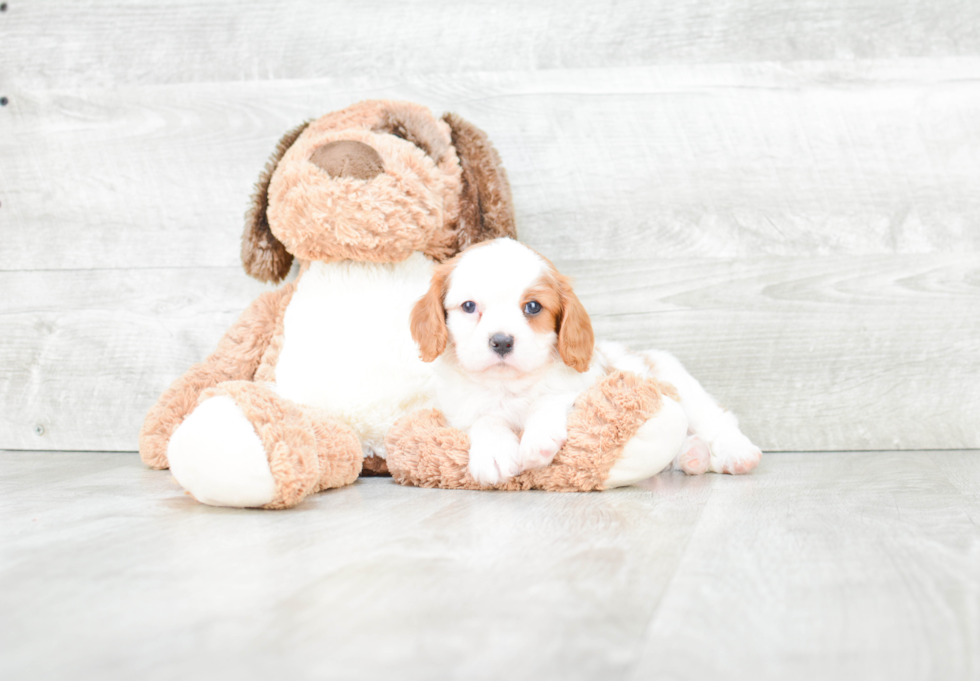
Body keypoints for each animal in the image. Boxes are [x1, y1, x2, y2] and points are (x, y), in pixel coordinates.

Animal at [410, 238, 760, 484]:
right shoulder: (460, 412)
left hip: (682, 386)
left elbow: (549, 398)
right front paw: (494, 451)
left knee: (718, 421)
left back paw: (737, 453)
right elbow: (485, 419)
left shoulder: (588, 387)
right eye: (469, 307)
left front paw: (537, 439)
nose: (502, 341)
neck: (510, 386)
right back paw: (692, 454)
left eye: (533, 307)